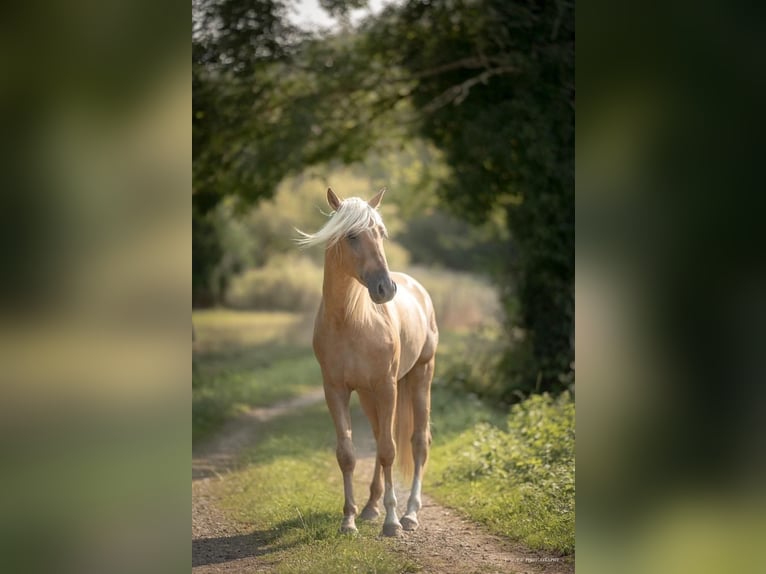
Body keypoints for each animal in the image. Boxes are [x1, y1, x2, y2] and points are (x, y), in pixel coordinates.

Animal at [302, 187, 444, 536]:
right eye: (351, 235)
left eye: (380, 233)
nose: (385, 288)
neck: (351, 321)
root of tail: (417, 288)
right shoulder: (335, 390)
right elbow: (348, 454)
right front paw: (349, 519)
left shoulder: (387, 386)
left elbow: (389, 451)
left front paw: (392, 522)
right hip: (369, 395)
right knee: (381, 437)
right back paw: (370, 507)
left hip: (420, 377)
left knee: (417, 443)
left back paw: (410, 513)